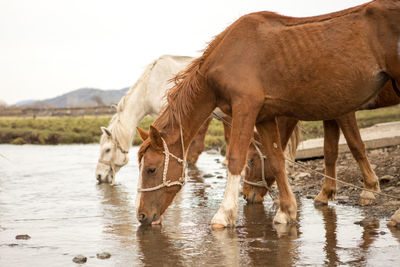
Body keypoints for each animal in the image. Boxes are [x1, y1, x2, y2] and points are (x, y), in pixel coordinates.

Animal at [242, 79, 398, 205]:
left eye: (250, 160)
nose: (244, 195)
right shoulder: (330, 114)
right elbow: (329, 151)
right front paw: (325, 193)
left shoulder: (344, 112)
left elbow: (356, 145)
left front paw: (369, 189)